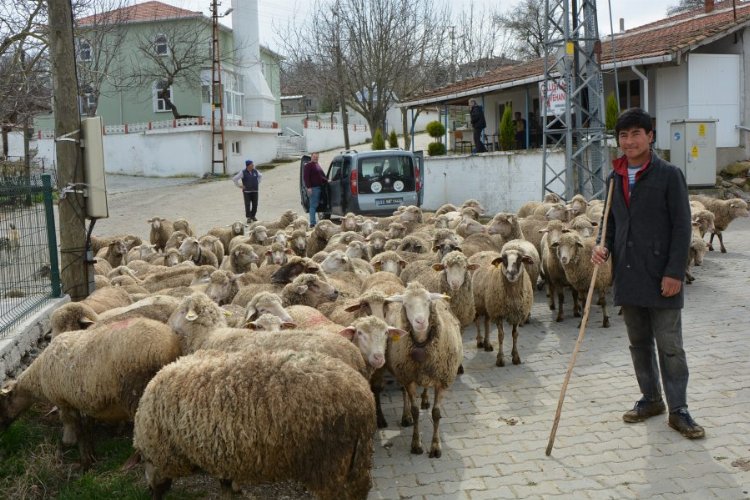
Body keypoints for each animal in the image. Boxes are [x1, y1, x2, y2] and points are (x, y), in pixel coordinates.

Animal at [0, 318, 181, 466]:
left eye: (2, 402)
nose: (2, 430)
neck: (37, 377)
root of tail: (169, 344)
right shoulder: (78, 399)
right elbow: (85, 425)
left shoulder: (63, 401)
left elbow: (73, 425)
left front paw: (73, 448)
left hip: (134, 390)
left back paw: (133, 460)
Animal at [132, 348, 376, 500]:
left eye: (144, 460)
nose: (150, 493)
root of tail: (366, 396)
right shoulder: (222, 450)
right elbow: (225, 485)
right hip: (356, 461)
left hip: (330, 464)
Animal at [382, 282, 464, 458]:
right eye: (406, 304)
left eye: (427, 302)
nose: (420, 321)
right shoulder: (409, 379)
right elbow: (415, 411)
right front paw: (416, 444)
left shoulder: (442, 381)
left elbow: (436, 414)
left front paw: (436, 446)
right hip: (402, 373)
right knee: (404, 392)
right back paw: (406, 416)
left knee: (426, 388)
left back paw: (425, 399)